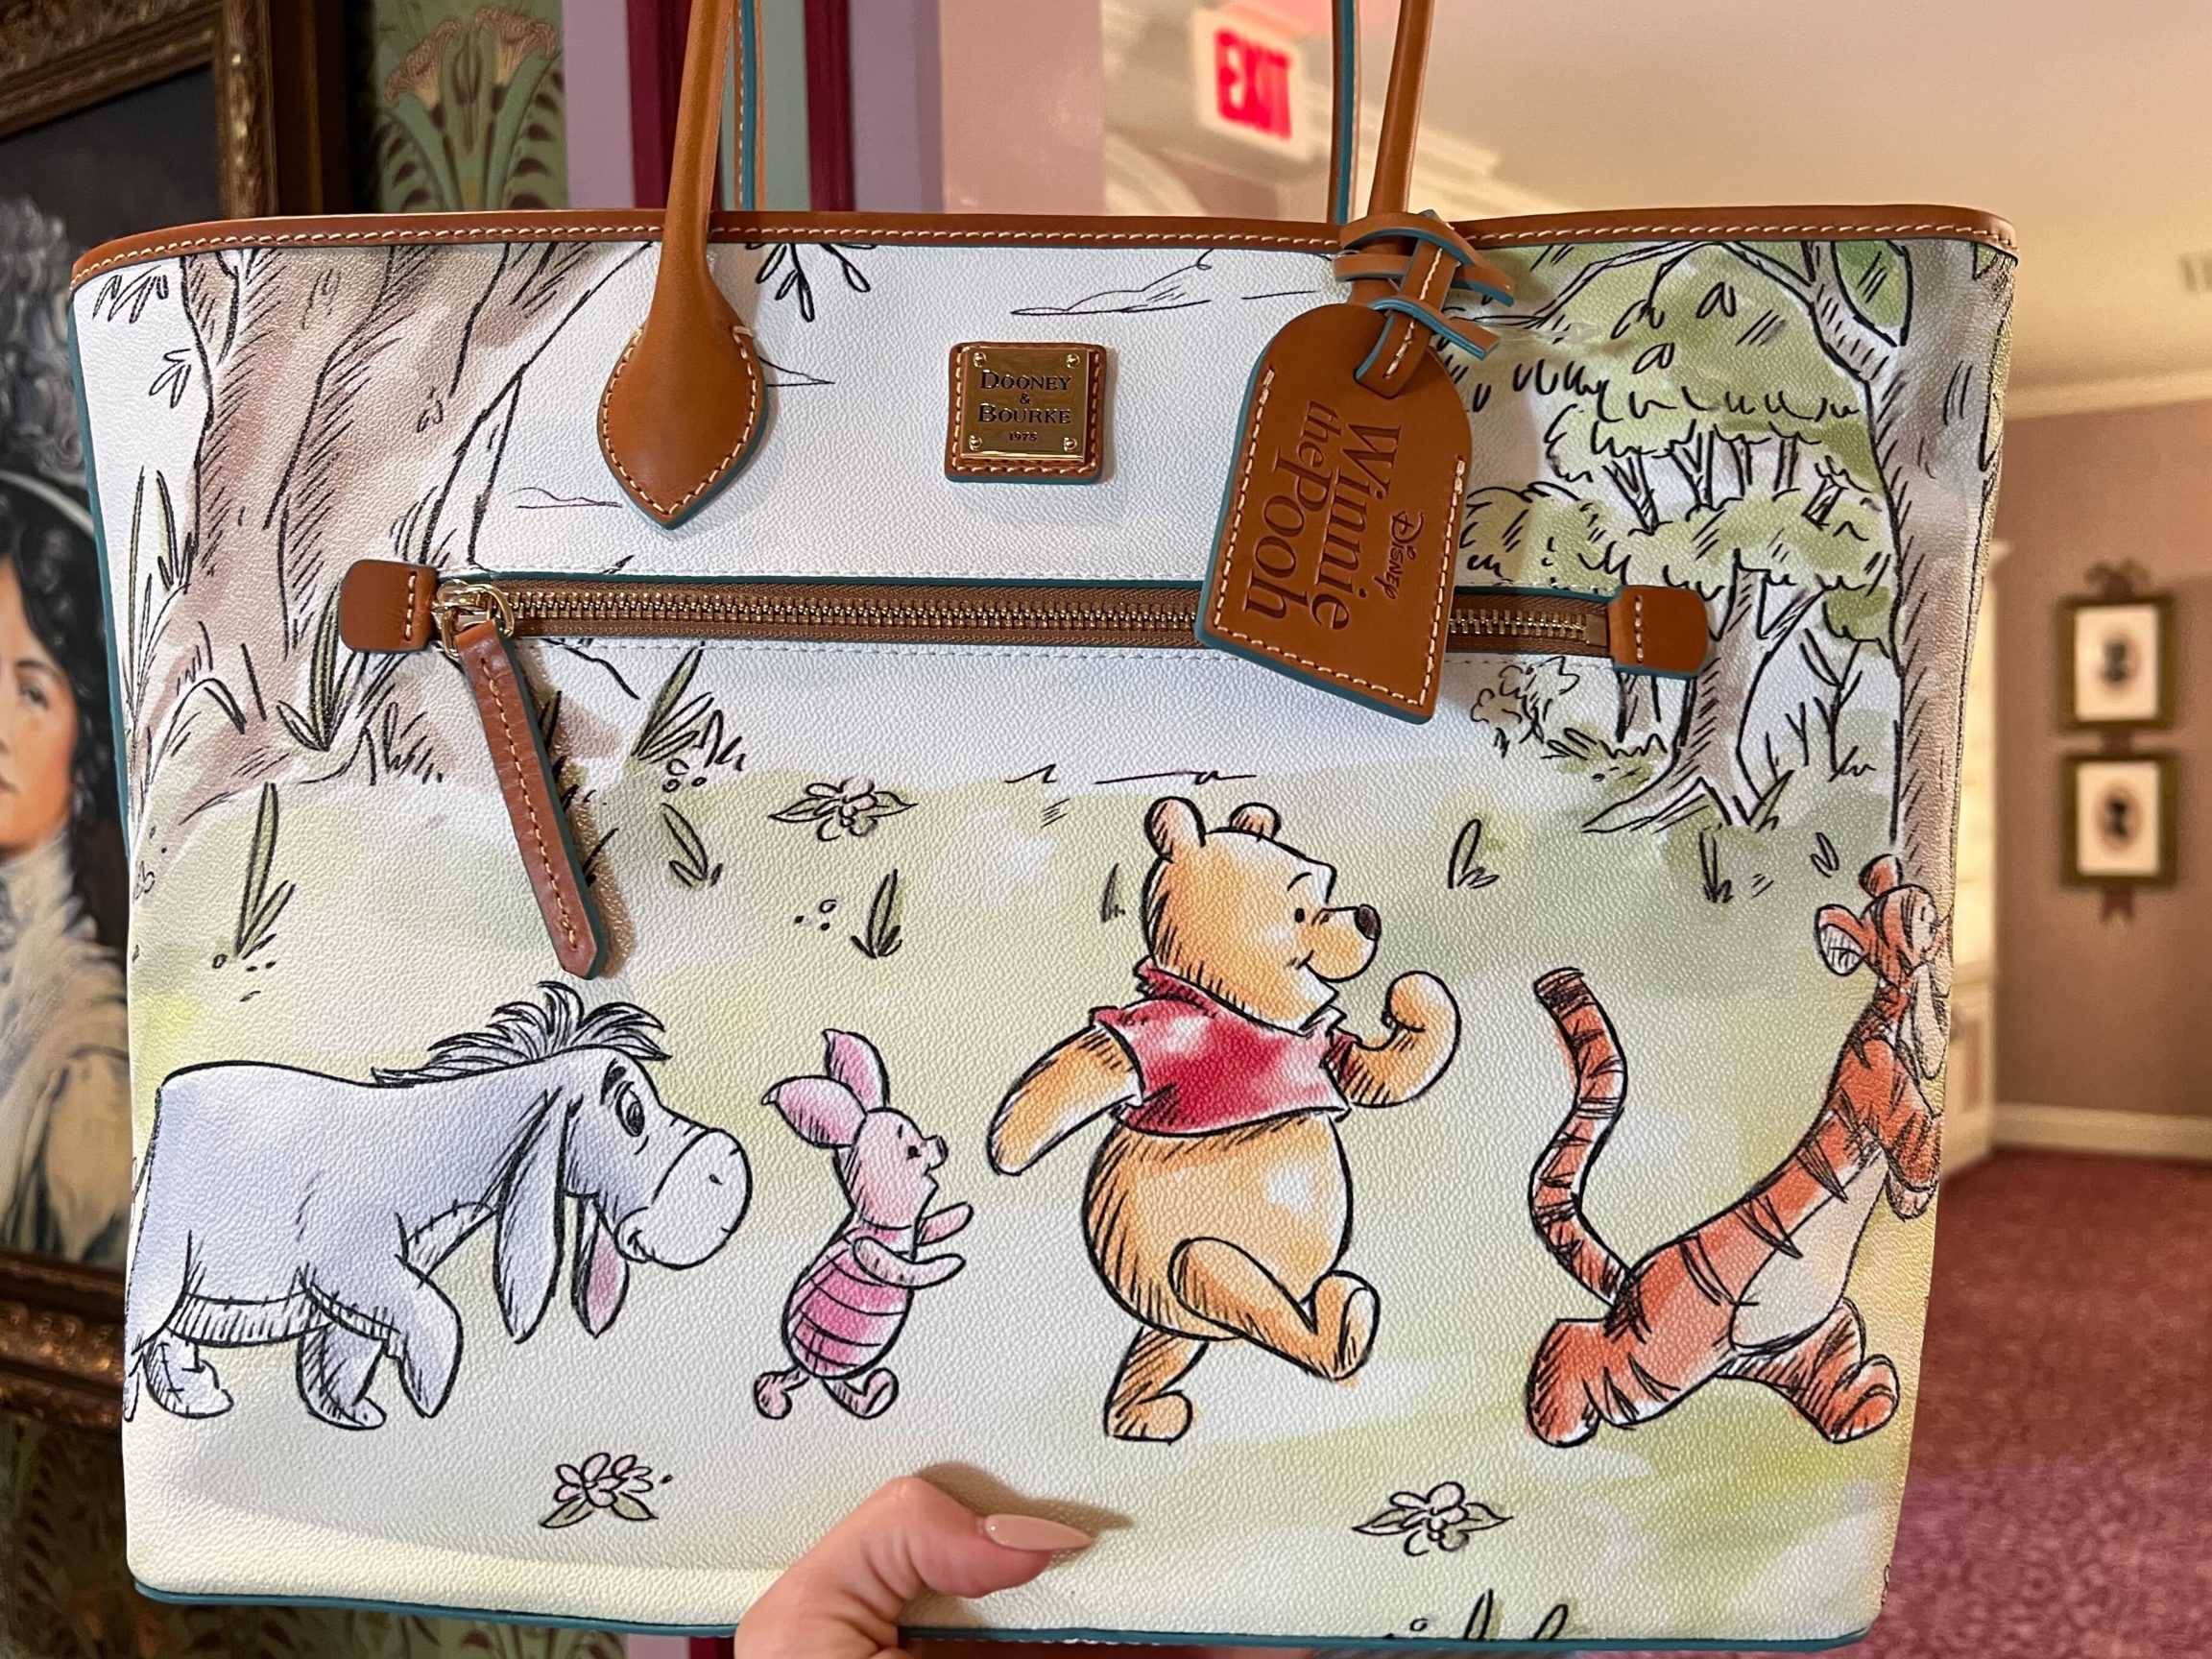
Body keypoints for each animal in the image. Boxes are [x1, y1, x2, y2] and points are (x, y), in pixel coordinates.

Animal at [754, 1030, 970, 1420]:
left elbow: (930, 1227)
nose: (940, 1144)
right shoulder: (869, 1249)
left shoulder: (913, 1231)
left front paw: (958, 1215)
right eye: (911, 1151)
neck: (879, 1222)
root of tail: (811, 1370)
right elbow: (902, 1266)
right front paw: (948, 1263)